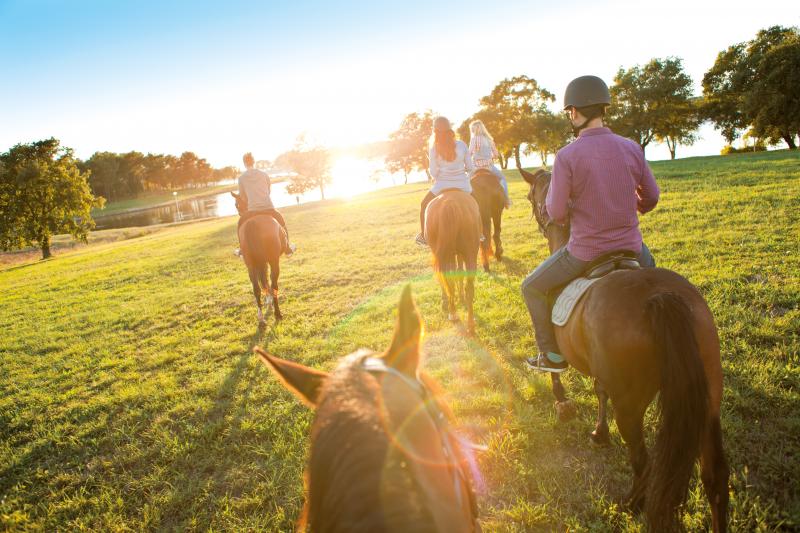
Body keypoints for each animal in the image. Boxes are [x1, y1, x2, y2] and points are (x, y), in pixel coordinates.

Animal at [233, 191, 286, 324]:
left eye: (237, 205)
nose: (240, 213)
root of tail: (252, 223)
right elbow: (268, 281)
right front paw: (270, 302)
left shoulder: (260, 263)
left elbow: (263, 281)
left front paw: (267, 301)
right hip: (274, 261)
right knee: (273, 285)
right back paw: (277, 313)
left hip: (251, 264)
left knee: (256, 288)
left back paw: (261, 317)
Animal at [424, 190, 482, 332]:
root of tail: (450, 204)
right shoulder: (457, 254)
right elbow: (458, 273)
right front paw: (459, 297)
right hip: (469, 254)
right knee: (468, 286)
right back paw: (469, 323)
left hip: (447, 255)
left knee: (448, 282)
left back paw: (453, 313)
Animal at [520, 166, 732, 532]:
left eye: (533, 197)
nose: (541, 218)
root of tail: (659, 296)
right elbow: (599, 389)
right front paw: (599, 432)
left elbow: (555, 370)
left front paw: (563, 404)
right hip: (708, 400)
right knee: (714, 478)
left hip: (632, 408)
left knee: (643, 463)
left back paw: (632, 503)